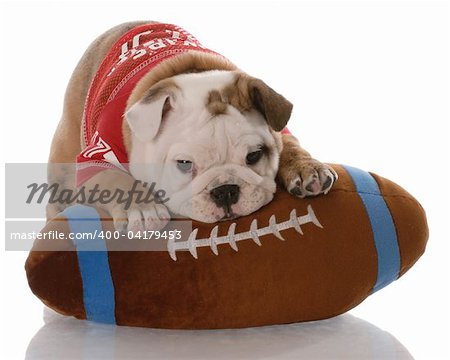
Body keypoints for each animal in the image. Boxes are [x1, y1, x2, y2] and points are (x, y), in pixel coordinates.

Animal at [49, 21, 338, 232]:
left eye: (255, 155)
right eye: (185, 164)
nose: (225, 191)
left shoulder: (279, 128)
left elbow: (291, 146)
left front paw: (306, 168)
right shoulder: (96, 157)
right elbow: (114, 178)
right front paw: (142, 209)